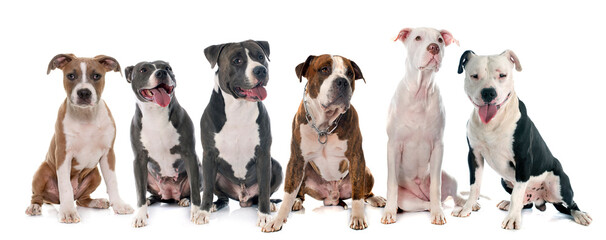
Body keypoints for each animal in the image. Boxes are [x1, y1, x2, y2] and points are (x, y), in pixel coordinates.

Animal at [25, 53, 134, 222]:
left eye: (96, 76)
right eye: (71, 76)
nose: (84, 92)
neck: (86, 116)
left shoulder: (109, 154)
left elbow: (112, 181)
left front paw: (119, 205)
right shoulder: (63, 155)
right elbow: (65, 186)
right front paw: (68, 212)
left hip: (95, 174)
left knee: (82, 199)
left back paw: (97, 202)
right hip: (42, 171)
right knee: (38, 196)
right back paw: (35, 207)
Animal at [125, 60, 202, 227]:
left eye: (168, 68)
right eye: (143, 69)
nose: (161, 72)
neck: (156, 114)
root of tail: (170, 196)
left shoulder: (190, 156)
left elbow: (195, 189)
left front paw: (197, 211)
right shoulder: (139, 160)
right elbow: (139, 190)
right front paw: (140, 214)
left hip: (199, 170)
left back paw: (185, 200)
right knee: (153, 195)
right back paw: (149, 200)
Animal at [191, 39, 284, 227]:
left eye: (260, 57)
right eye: (237, 61)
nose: (260, 70)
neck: (238, 108)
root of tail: (243, 198)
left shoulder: (263, 154)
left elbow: (264, 189)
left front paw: (264, 215)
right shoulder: (209, 154)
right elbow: (208, 189)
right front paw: (203, 211)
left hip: (276, 166)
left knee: (261, 195)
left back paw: (270, 204)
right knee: (222, 197)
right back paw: (215, 205)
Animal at [264, 54, 388, 232]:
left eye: (350, 73)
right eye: (324, 69)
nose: (342, 81)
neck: (324, 126)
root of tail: (332, 197)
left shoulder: (357, 158)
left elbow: (357, 194)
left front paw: (357, 217)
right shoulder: (296, 160)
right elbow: (288, 192)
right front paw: (278, 219)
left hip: (366, 171)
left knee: (364, 193)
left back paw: (375, 198)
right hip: (305, 172)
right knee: (298, 192)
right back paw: (297, 201)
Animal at [456, 49, 592, 229]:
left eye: (502, 75)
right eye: (474, 76)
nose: (488, 92)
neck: (493, 123)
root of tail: (541, 200)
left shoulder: (523, 160)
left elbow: (517, 193)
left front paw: (512, 219)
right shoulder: (474, 156)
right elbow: (474, 185)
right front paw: (467, 208)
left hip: (560, 185)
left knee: (570, 204)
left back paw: (580, 215)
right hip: (504, 180)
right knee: (525, 203)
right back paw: (509, 203)